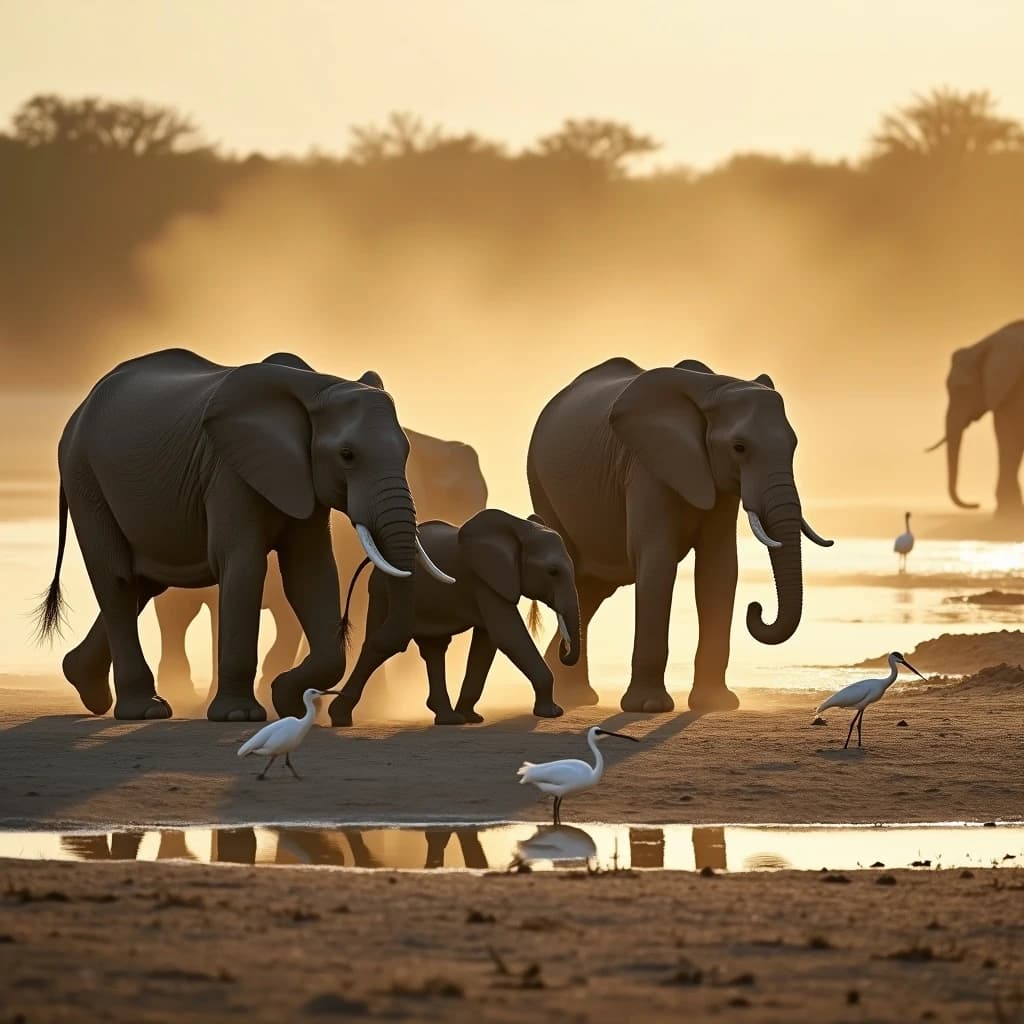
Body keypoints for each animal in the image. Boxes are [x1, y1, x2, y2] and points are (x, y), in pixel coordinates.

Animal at [36, 348, 451, 722]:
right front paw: (241, 715)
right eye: (347, 455)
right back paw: (144, 710)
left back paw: (85, 685)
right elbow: (244, 565)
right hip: (84, 476)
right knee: (117, 579)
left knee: (145, 583)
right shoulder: (229, 471)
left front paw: (285, 698)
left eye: (407, 451)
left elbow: (311, 572)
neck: (315, 386)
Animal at [329, 509, 580, 726]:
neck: (519, 528)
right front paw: (552, 713)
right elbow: (507, 635)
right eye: (552, 572)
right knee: (381, 644)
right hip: (383, 589)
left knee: (434, 648)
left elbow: (487, 643)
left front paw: (472, 718)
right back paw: (339, 717)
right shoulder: (484, 578)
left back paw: (449, 719)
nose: (564, 650)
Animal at [526, 357, 832, 714]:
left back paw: (573, 692)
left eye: (793, 446)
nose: (756, 609)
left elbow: (719, 569)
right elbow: (658, 562)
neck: (713, 389)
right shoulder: (648, 467)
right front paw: (648, 707)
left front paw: (716, 703)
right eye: (739, 448)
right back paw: (572, 696)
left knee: (590, 589)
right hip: (542, 487)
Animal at [926, 320, 1024, 518]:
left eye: (962, 389)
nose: (976, 504)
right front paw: (1009, 514)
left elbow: (1009, 437)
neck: (986, 343)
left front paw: (1006, 516)